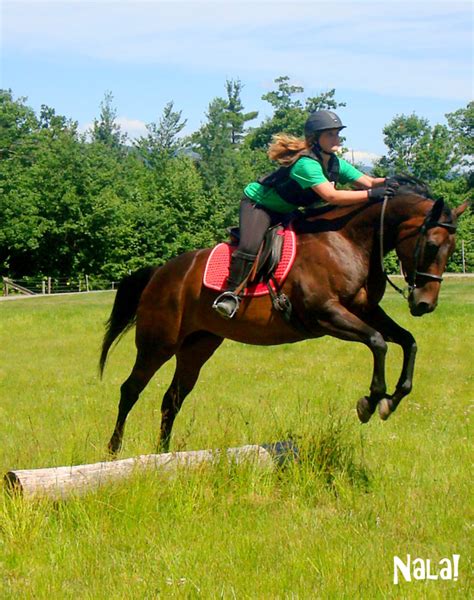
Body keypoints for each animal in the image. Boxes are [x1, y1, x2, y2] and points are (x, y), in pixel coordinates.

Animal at [99, 179, 466, 454]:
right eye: (432, 245)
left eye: (451, 249)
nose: (424, 304)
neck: (348, 240)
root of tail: (160, 273)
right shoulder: (325, 315)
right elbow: (379, 342)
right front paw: (370, 402)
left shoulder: (365, 310)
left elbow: (408, 341)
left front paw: (392, 399)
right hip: (157, 344)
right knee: (130, 390)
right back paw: (114, 451)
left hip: (197, 347)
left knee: (171, 399)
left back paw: (163, 455)